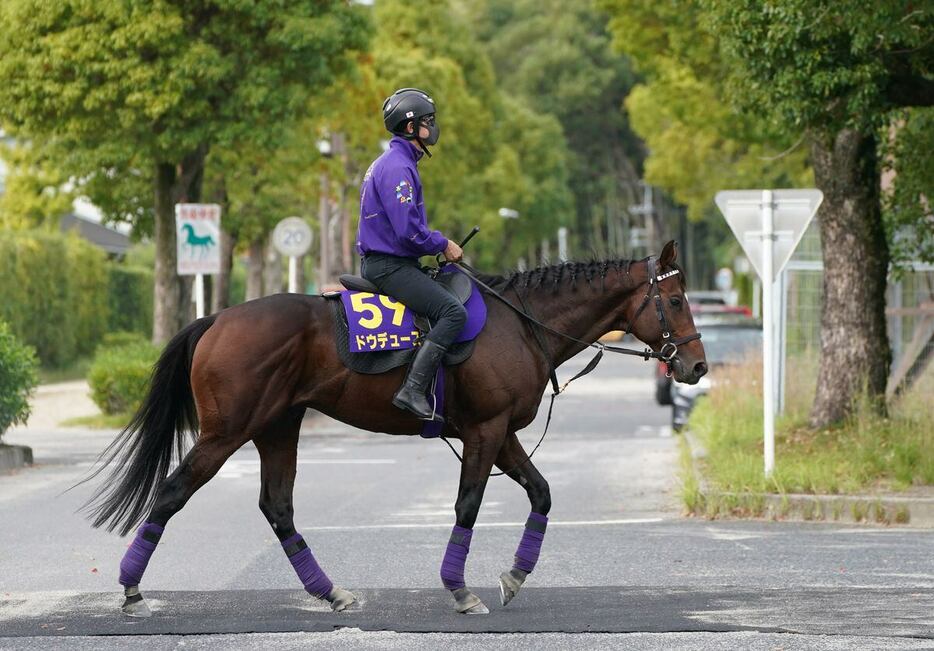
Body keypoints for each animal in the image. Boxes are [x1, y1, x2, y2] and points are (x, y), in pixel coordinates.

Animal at [88, 239, 704, 616]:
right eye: (675, 299)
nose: (697, 367)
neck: (520, 322)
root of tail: (217, 317)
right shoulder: (485, 432)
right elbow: (468, 505)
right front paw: (460, 589)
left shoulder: (500, 433)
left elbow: (542, 493)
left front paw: (514, 575)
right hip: (224, 434)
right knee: (173, 492)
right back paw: (132, 590)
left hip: (277, 428)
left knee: (277, 507)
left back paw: (329, 591)